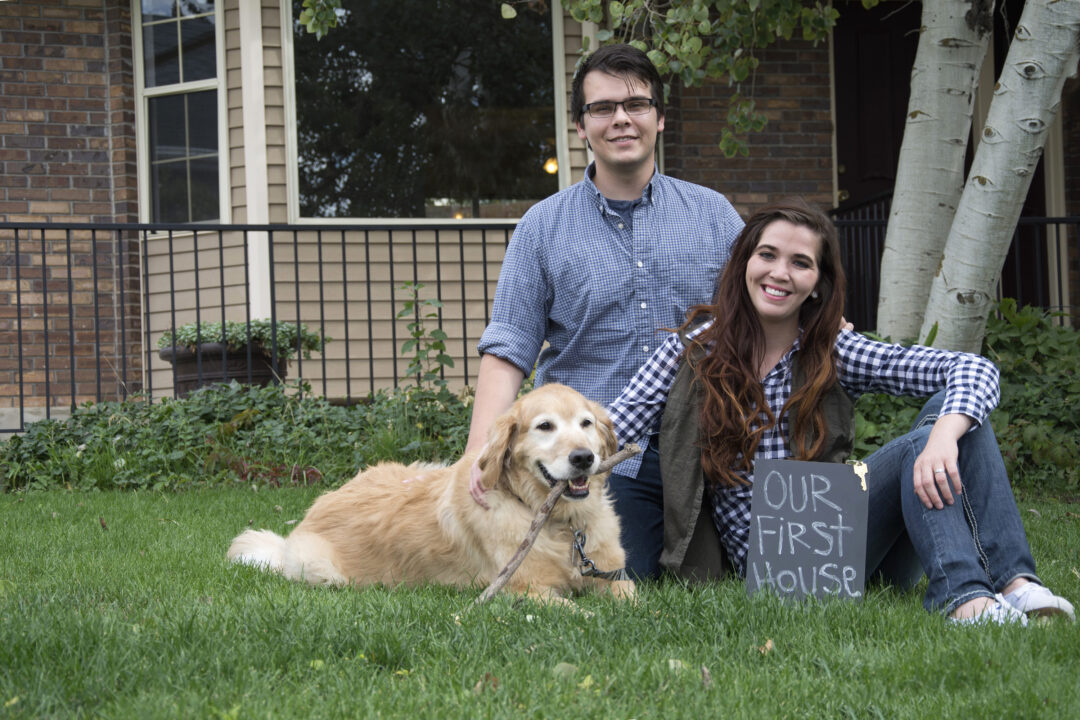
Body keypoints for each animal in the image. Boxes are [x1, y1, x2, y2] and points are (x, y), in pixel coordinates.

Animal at [225, 386, 630, 604]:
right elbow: (579, 612)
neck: (562, 524)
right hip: (321, 568)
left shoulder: (616, 578)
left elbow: (632, 603)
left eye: (586, 423)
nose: (583, 457)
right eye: (545, 426)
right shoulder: (524, 589)